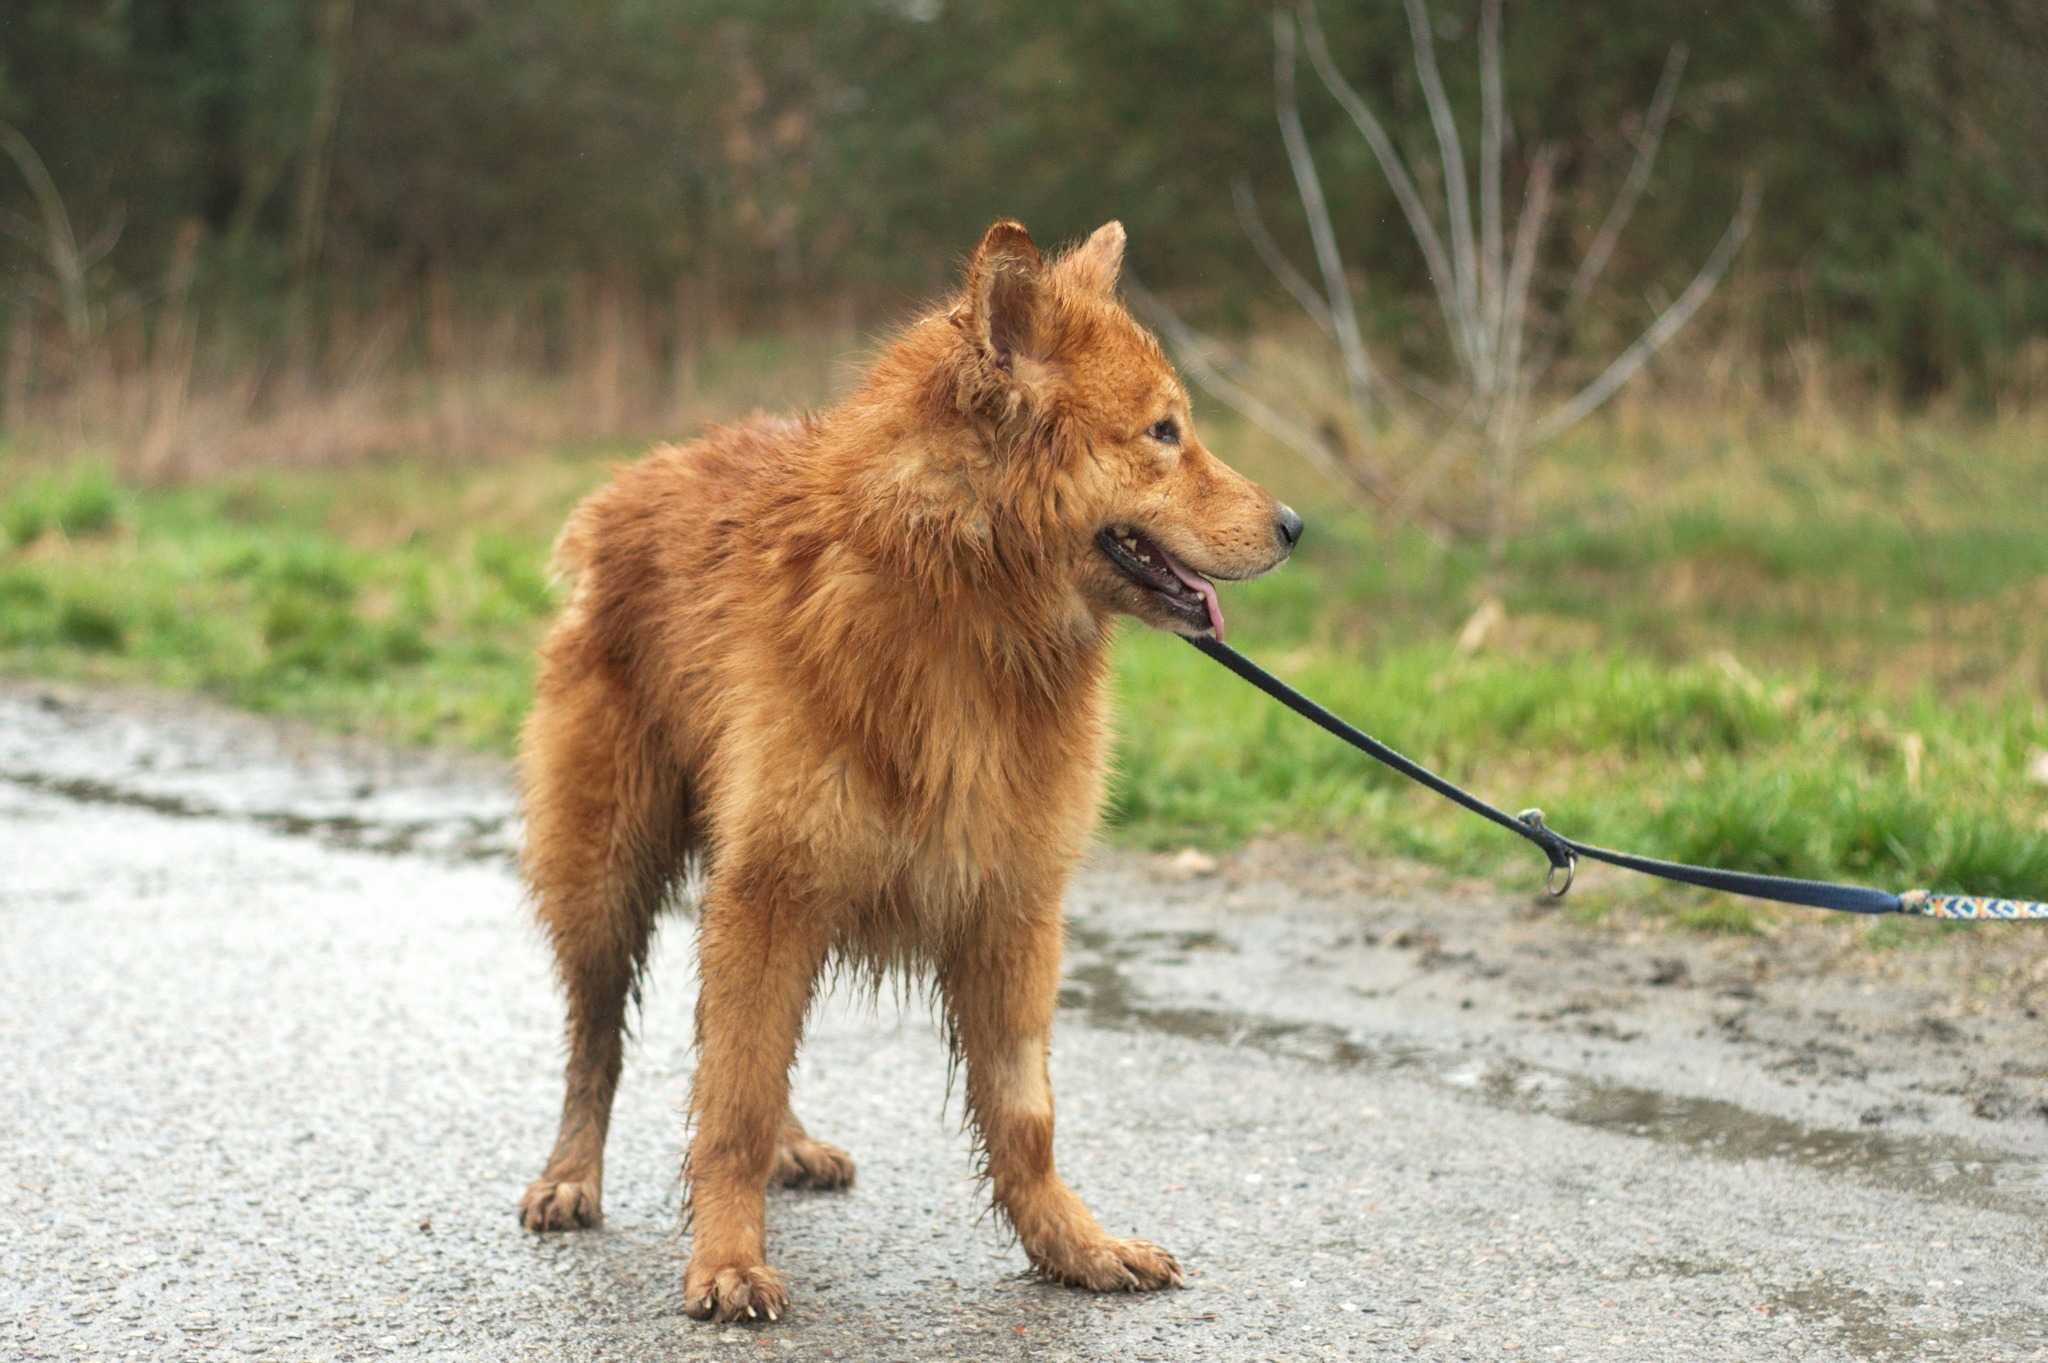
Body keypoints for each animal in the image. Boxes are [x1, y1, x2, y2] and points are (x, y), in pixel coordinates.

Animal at [512, 220, 1294, 1317]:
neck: (960, 601)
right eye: (1163, 432)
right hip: (608, 874)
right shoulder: (774, 888)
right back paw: (571, 1175)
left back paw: (791, 1149)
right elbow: (732, 1097)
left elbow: (1022, 1116)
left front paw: (1071, 1246)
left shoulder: (1009, 906)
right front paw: (726, 1255)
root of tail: (626, 485)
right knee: (599, 1042)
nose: (1295, 525)